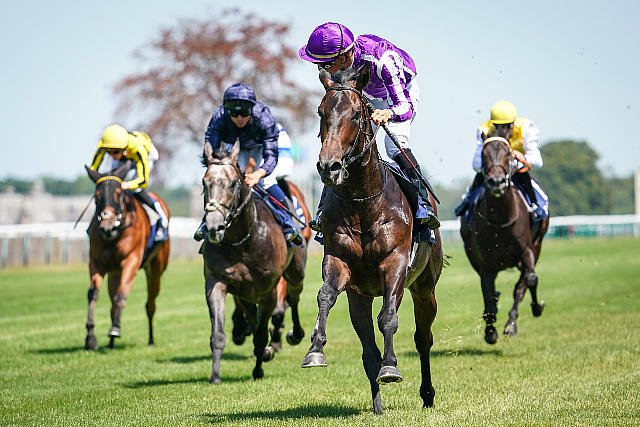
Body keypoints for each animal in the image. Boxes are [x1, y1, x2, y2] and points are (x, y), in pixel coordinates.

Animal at [84, 161, 171, 350]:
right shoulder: (97, 263)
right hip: (114, 273)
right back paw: (110, 344)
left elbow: (121, 294)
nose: (107, 227)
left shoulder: (131, 260)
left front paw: (115, 329)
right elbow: (93, 294)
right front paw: (90, 337)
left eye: (118, 194)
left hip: (156, 270)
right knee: (112, 302)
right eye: (97, 196)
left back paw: (151, 340)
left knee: (150, 304)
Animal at [200, 140, 307, 383]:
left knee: (294, 297)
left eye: (233, 184)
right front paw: (215, 375)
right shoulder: (217, 283)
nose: (214, 227)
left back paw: (294, 334)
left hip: (295, 271)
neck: (243, 241)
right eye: (204, 183)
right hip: (246, 291)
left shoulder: (268, 291)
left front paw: (259, 367)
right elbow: (218, 334)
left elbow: (261, 334)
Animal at [301, 67, 443, 414]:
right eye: (321, 112)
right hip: (360, 297)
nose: (329, 166)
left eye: (356, 113)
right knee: (367, 348)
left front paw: (391, 367)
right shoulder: (339, 262)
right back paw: (378, 404)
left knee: (423, 338)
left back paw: (427, 394)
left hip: (424, 286)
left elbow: (389, 318)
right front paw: (315, 350)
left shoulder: (395, 263)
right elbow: (325, 297)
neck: (363, 204)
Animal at [460, 136, 549, 344]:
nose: (497, 182)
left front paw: (535, 308)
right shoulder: (485, 262)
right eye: (483, 154)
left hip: (537, 244)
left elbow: (530, 280)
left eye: (508, 154)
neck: (501, 221)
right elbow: (488, 293)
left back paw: (511, 323)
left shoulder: (527, 251)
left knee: (522, 284)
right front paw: (490, 331)